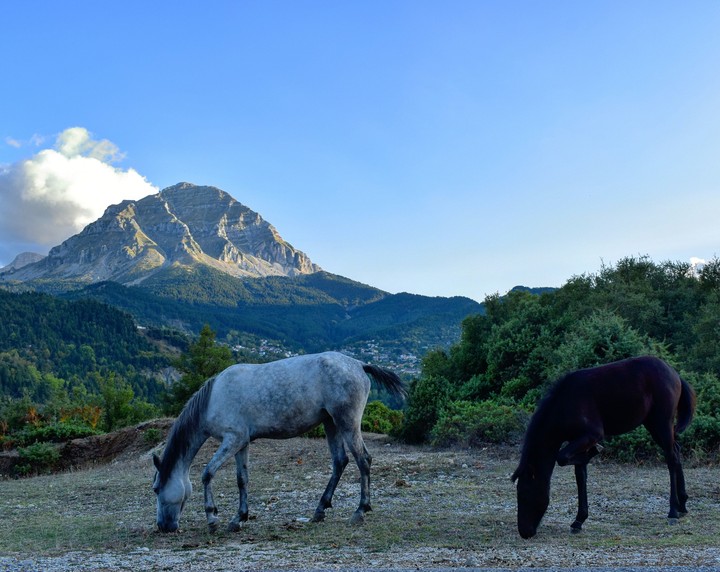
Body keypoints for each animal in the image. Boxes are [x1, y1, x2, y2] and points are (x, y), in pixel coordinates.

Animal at [152, 351, 406, 533]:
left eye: (156, 489)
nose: (163, 526)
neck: (214, 397)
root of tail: (359, 364)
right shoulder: (241, 443)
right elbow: (242, 480)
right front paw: (239, 518)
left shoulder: (232, 440)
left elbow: (207, 473)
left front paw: (213, 518)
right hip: (331, 423)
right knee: (340, 462)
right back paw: (320, 510)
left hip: (346, 423)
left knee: (363, 459)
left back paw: (360, 511)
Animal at [511, 355, 695, 539]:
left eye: (524, 495)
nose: (524, 532)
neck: (566, 402)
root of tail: (675, 374)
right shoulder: (579, 440)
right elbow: (580, 475)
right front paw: (579, 520)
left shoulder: (591, 435)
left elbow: (562, 458)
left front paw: (595, 450)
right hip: (652, 424)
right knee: (676, 451)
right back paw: (682, 504)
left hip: (662, 423)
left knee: (671, 457)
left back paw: (673, 511)